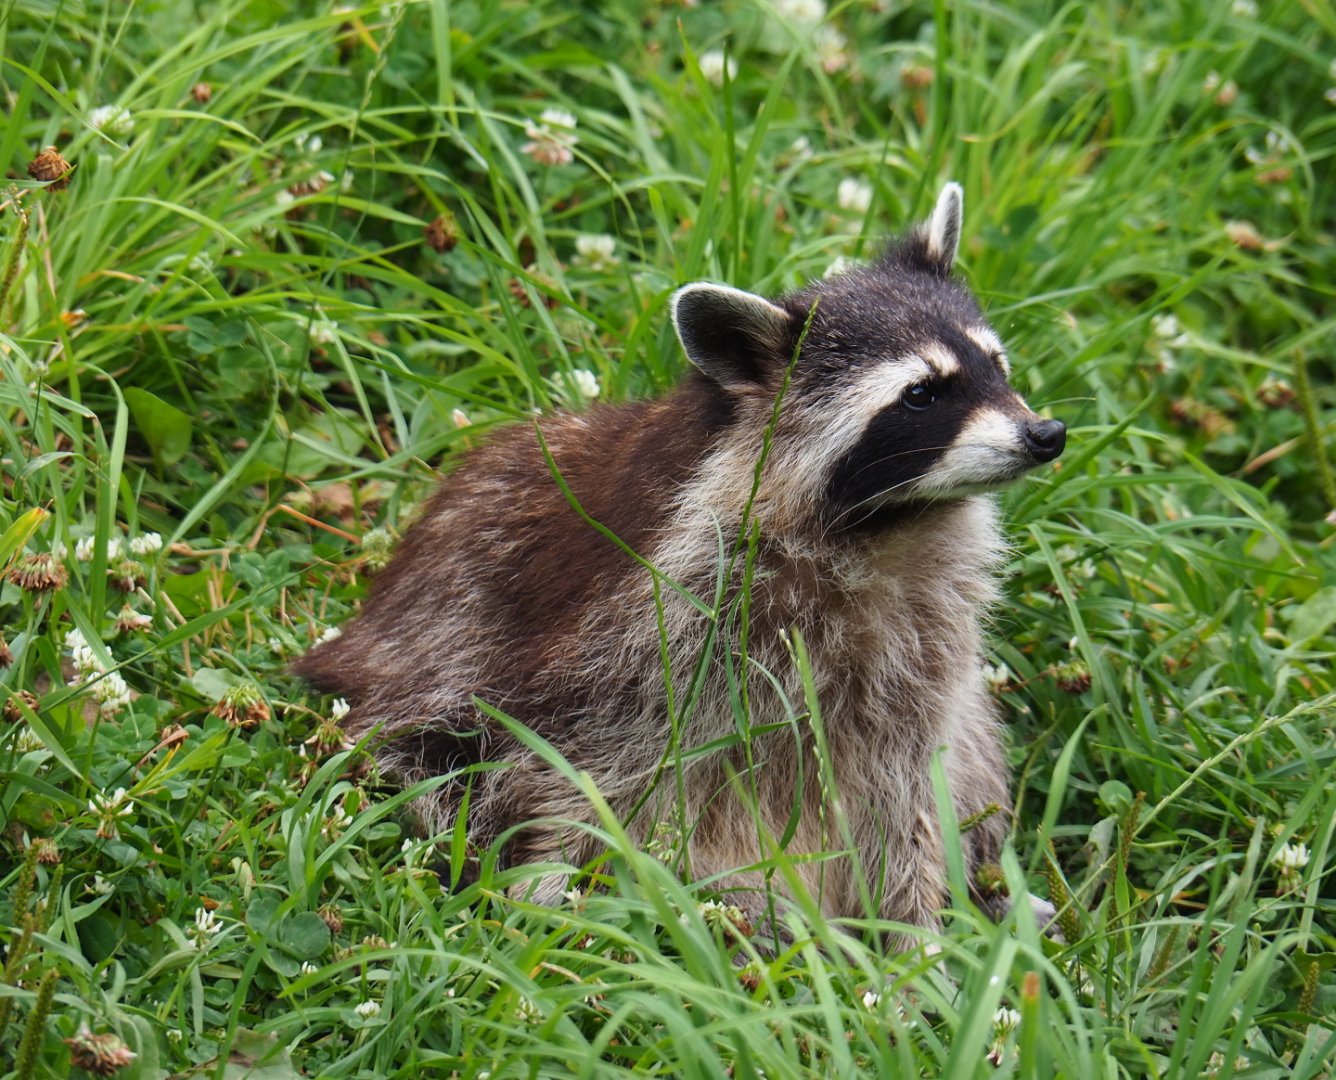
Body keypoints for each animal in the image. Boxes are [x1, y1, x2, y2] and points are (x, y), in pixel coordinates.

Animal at [296, 182, 1065, 937]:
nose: (1047, 434)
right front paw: (551, 876)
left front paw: (914, 926)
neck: (890, 525)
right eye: (921, 394)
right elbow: (590, 758)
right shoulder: (649, 623)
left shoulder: (921, 640)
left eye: (995, 364)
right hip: (428, 650)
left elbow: (906, 783)